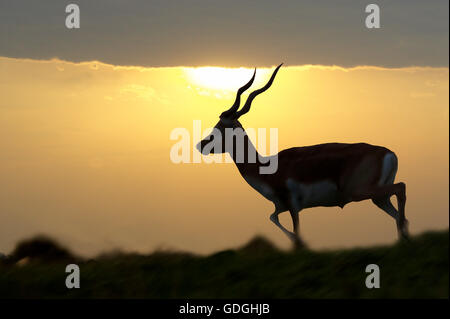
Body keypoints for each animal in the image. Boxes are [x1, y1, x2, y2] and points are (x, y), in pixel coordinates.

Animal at [196, 63, 408, 249]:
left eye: (221, 126)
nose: (201, 145)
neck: (265, 167)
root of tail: (388, 154)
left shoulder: (293, 204)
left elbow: (295, 229)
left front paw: (301, 243)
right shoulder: (281, 205)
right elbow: (272, 217)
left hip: (359, 191)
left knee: (401, 189)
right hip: (379, 197)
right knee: (401, 215)